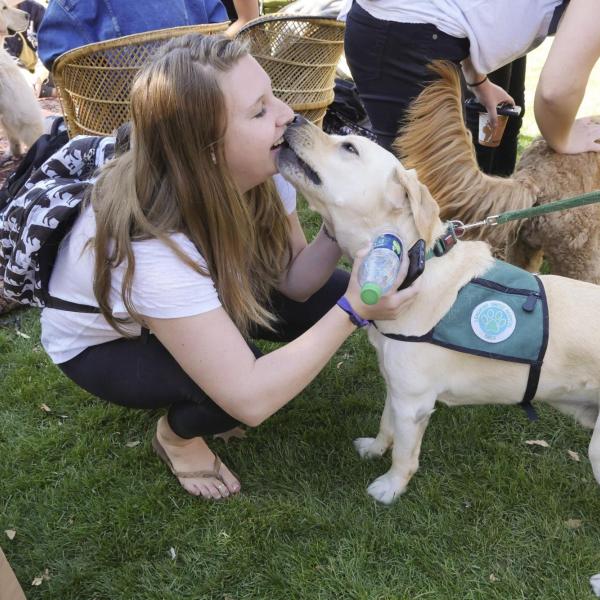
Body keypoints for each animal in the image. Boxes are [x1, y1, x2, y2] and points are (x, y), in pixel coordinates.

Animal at [278, 115, 600, 504]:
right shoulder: (396, 387)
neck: (414, 264)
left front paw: (390, 487)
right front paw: (375, 448)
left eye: (349, 147)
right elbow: (386, 426)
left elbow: (405, 455)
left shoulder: (413, 402)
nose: (294, 118)